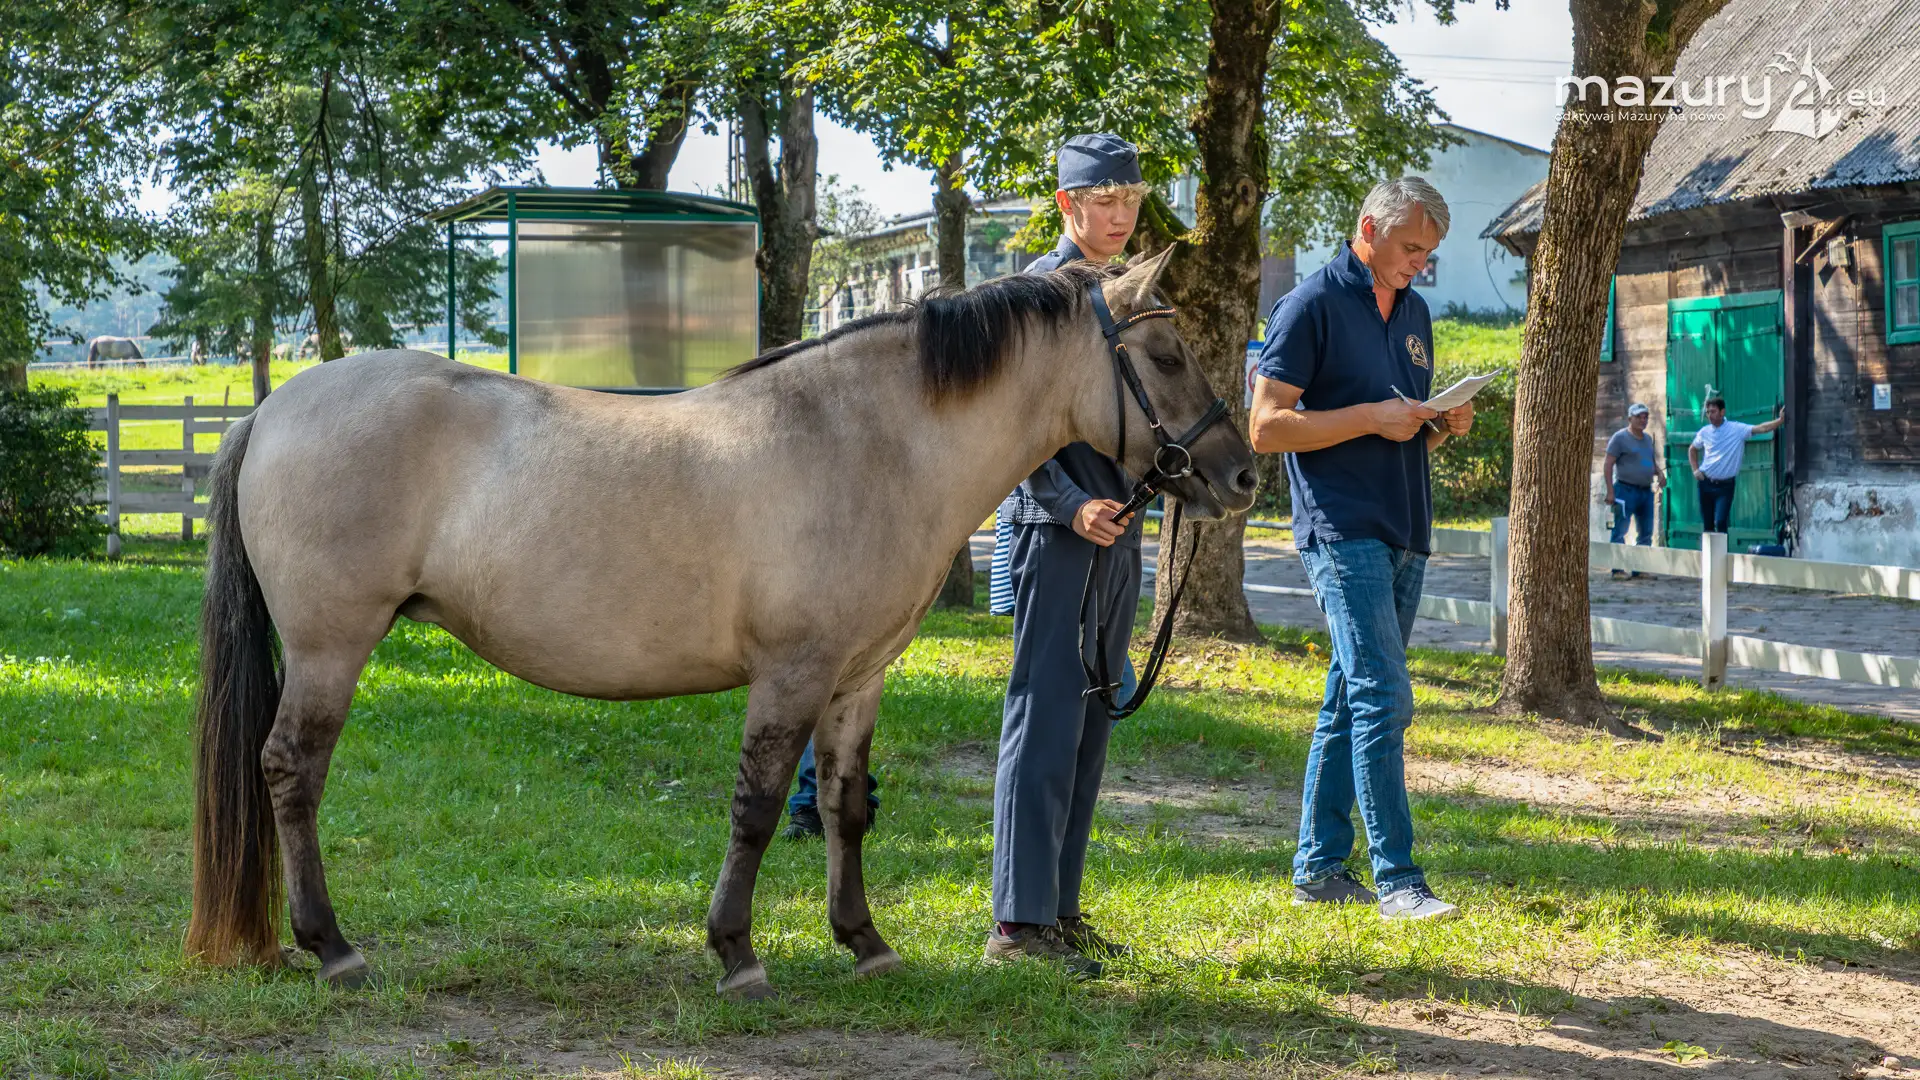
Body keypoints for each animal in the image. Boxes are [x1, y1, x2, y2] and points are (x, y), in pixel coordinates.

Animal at [186, 247, 1257, 998]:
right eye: (1165, 354)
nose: (1243, 476)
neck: (864, 441)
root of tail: (271, 408)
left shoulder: (856, 677)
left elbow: (843, 808)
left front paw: (864, 941)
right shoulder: (791, 674)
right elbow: (756, 806)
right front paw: (737, 952)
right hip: (330, 647)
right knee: (291, 772)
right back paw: (331, 945)